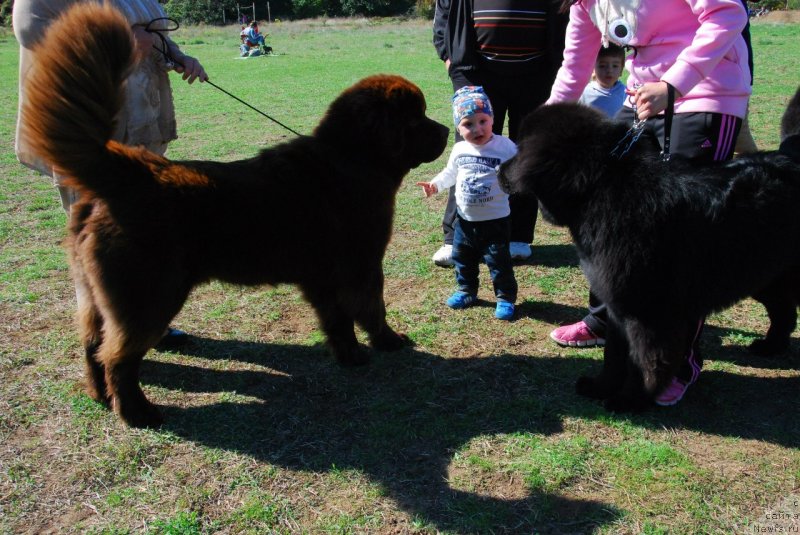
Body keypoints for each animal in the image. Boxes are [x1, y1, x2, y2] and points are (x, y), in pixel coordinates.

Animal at [21, 3, 450, 428]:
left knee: (92, 344)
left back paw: (99, 396)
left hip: (96, 296)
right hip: (149, 296)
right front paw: (389, 342)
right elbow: (372, 308)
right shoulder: (362, 263)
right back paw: (138, 413)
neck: (352, 157)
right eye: (416, 118)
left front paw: (350, 356)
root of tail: (129, 171)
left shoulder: (322, 277)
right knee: (118, 356)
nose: (447, 131)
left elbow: (337, 319)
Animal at [500, 90, 800, 412]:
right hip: (765, 272)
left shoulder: (647, 312)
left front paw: (630, 400)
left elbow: (645, 362)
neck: (600, 187)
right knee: (784, 310)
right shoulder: (617, 305)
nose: (499, 169)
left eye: (519, 150)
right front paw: (600, 387)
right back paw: (770, 346)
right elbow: (614, 355)